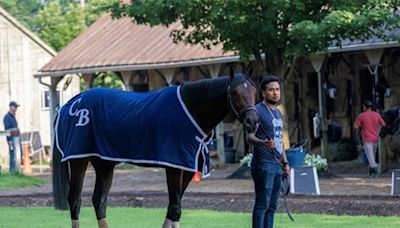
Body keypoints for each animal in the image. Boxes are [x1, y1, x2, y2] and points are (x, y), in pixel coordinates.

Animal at [52, 73, 260, 228]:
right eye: (235, 92)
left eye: (254, 91)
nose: (253, 122)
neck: (190, 111)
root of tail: (70, 104)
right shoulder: (174, 167)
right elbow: (175, 208)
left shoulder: (187, 169)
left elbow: (173, 208)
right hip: (78, 160)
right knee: (75, 201)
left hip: (104, 164)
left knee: (99, 201)